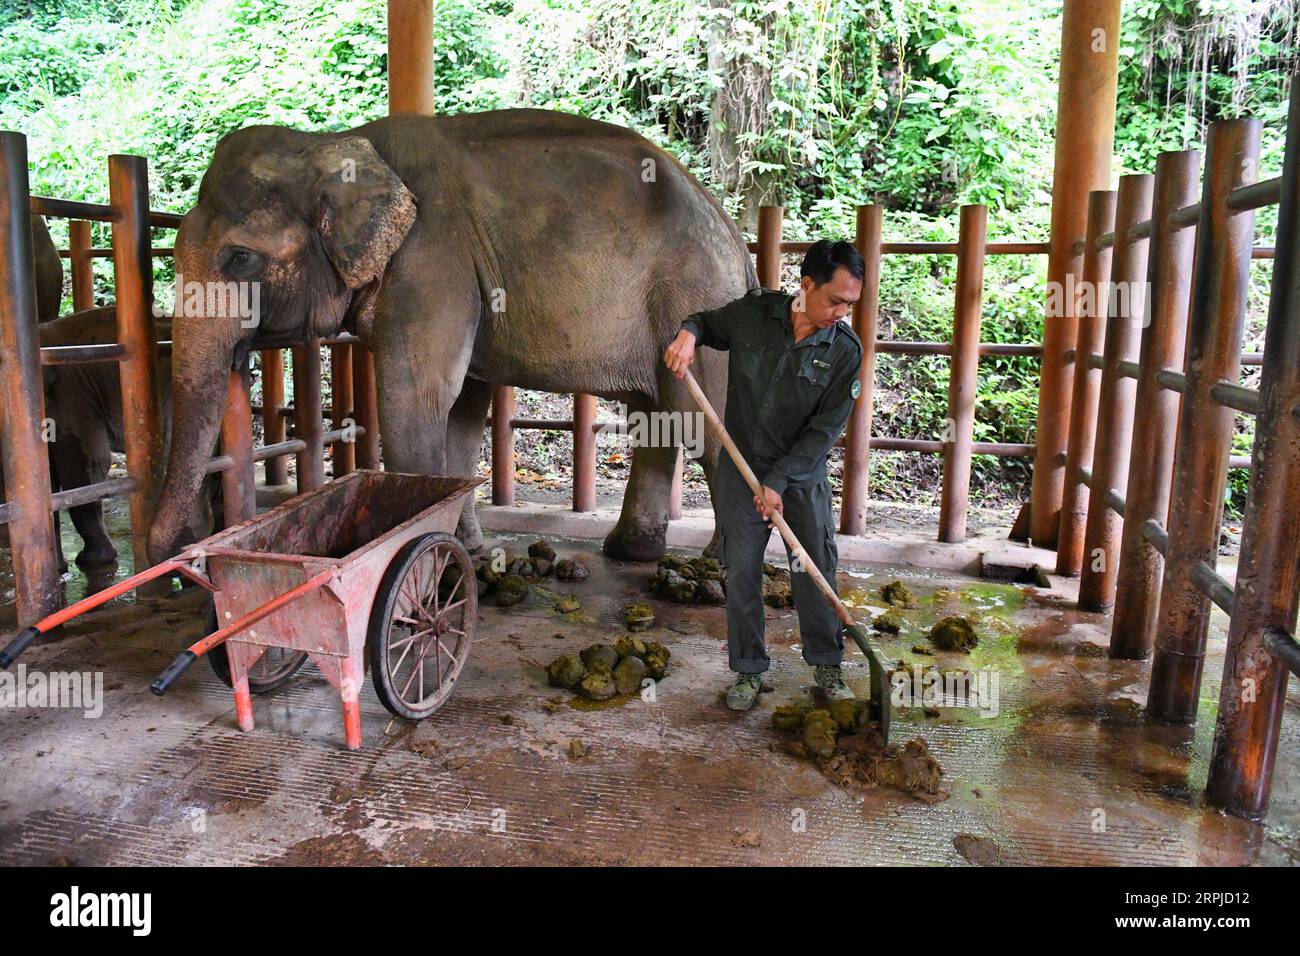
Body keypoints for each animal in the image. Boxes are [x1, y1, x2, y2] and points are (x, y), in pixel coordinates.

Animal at [144, 110, 754, 567]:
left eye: (239, 258)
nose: (183, 552)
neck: (334, 144)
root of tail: (731, 230)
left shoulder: (431, 260)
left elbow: (415, 399)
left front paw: (425, 559)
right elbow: (461, 409)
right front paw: (469, 552)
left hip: (694, 297)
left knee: (705, 426)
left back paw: (718, 574)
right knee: (660, 417)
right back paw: (630, 553)